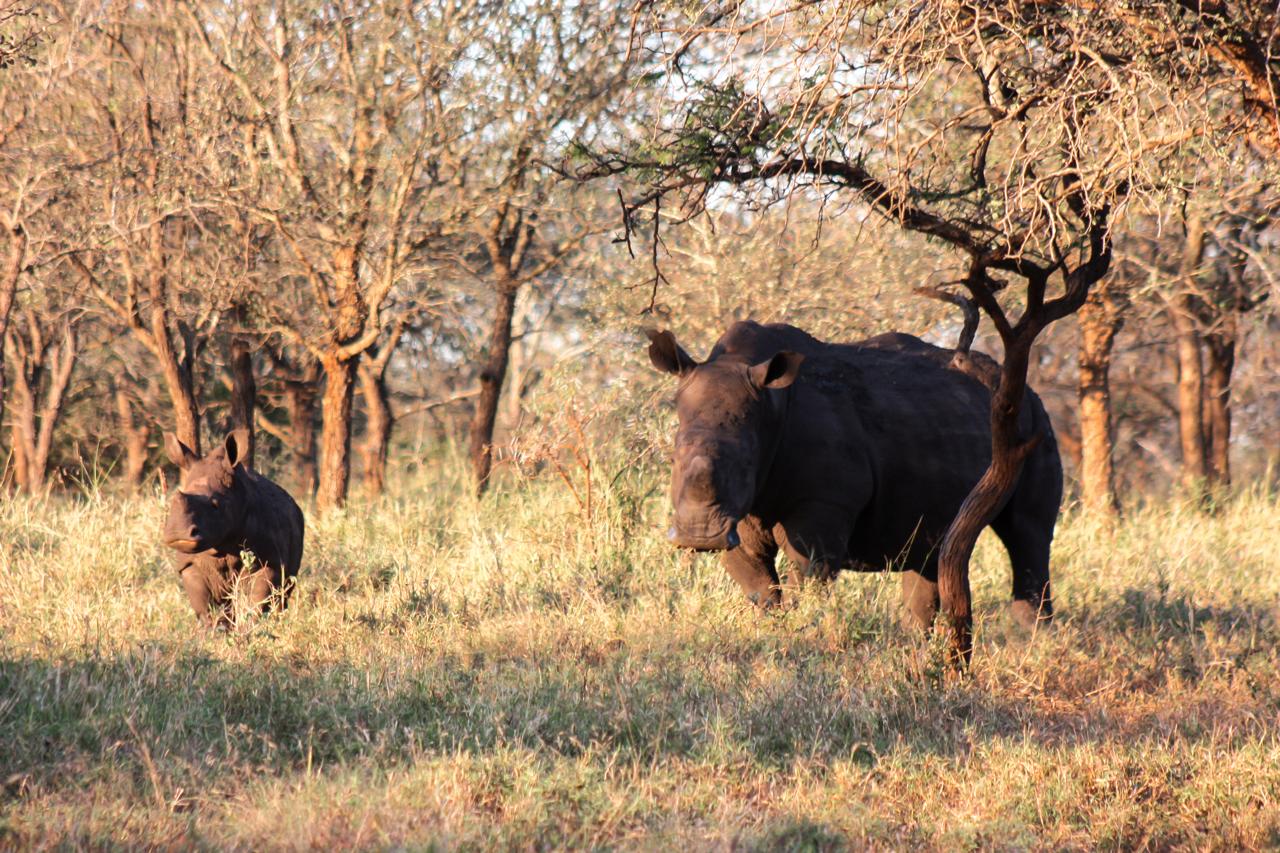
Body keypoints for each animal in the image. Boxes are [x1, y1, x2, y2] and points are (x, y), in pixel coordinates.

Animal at [162, 429, 304, 629]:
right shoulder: (189, 564)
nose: (177, 532)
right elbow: (204, 606)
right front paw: (214, 631)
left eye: (215, 505)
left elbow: (259, 600)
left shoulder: (271, 560)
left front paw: (252, 627)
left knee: (283, 594)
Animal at [647, 320, 1062, 629]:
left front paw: (803, 636)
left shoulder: (822, 505)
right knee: (931, 550)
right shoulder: (743, 512)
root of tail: (1025, 388)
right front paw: (775, 634)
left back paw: (1031, 640)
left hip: (1031, 426)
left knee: (1027, 534)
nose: (699, 536)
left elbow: (807, 579)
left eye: (746, 462)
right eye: (674, 456)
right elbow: (760, 587)